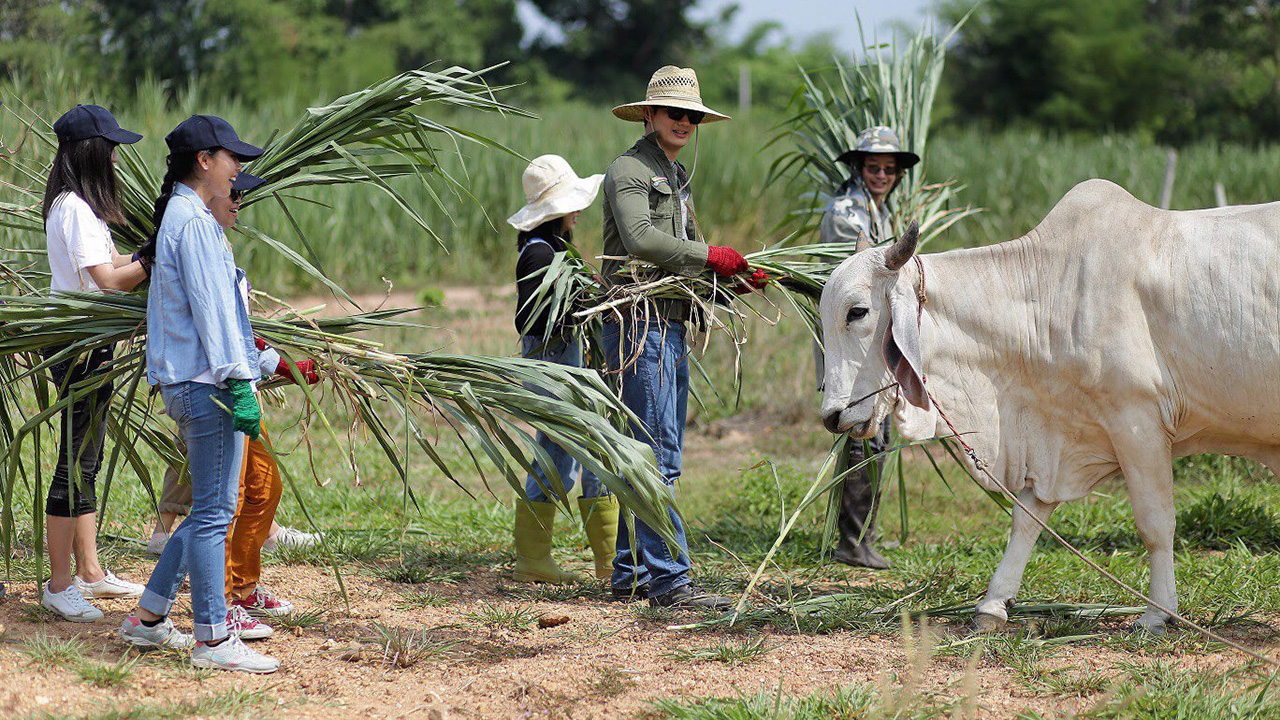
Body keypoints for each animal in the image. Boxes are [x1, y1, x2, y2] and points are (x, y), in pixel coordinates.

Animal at [819, 178, 1280, 627]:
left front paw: (1157, 613)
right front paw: (992, 605)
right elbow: (1028, 517)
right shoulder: (1062, 438)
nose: (832, 416)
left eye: (857, 312)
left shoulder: (1137, 419)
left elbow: (1156, 523)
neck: (1051, 292)